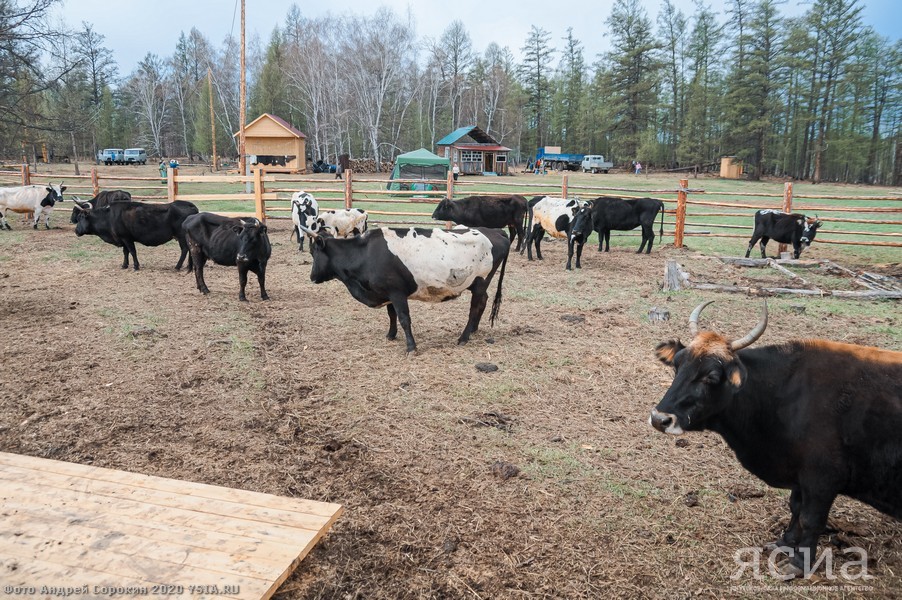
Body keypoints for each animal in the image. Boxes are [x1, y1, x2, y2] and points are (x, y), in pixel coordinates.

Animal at [304, 226, 512, 356]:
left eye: (313, 252)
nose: (312, 277)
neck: (366, 254)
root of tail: (495, 231)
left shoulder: (397, 293)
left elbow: (404, 318)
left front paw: (411, 346)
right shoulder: (388, 292)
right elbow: (391, 315)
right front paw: (391, 335)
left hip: (480, 281)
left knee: (475, 307)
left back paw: (464, 337)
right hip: (479, 285)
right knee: (483, 302)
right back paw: (474, 330)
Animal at [652, 302, 900, 580]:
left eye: (711, 376)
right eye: (677, 365)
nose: (660, 418)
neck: (783, 395)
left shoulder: (822, 479)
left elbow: (810, 519)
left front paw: (800, 562)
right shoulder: (800, 474)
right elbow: (795, 507)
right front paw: (786, 542)